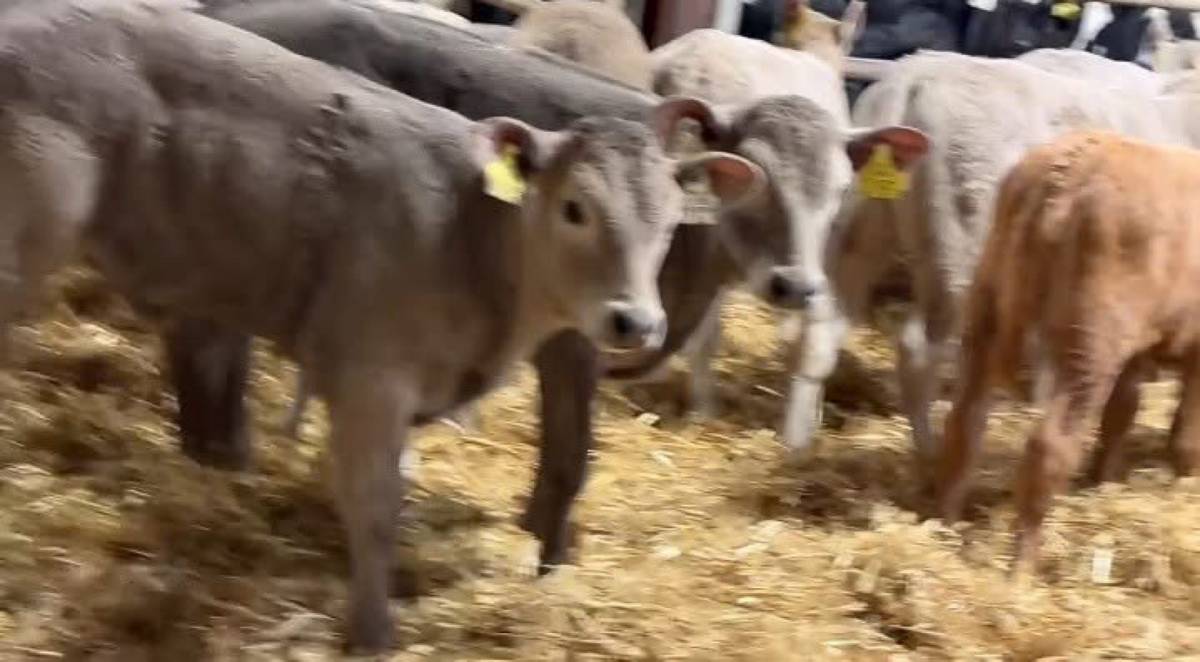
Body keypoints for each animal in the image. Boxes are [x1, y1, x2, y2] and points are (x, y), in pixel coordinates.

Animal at [0, 0, 763, 650]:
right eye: (575, 207)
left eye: (672, 217)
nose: (635, 320)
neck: (470, 236)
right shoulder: (370, 378)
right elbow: (374, 506)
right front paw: (373, 634)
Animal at [650, 28, 929, 445]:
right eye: (752, 175)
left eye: (842, 187)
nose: (794, 287)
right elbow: (700, 336)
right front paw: (704, 413)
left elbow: (813, 349)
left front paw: (796, 442)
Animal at [936, 131, 1200, 572]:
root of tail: (1070, 167)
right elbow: (1186, 437)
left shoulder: (1136, 355)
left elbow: (1121, 417)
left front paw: (1105, 483)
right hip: (1091, 341)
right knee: (1049, 447)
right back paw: (1021, 570)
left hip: (989, 310)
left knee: (964, 425)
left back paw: (942, 527)